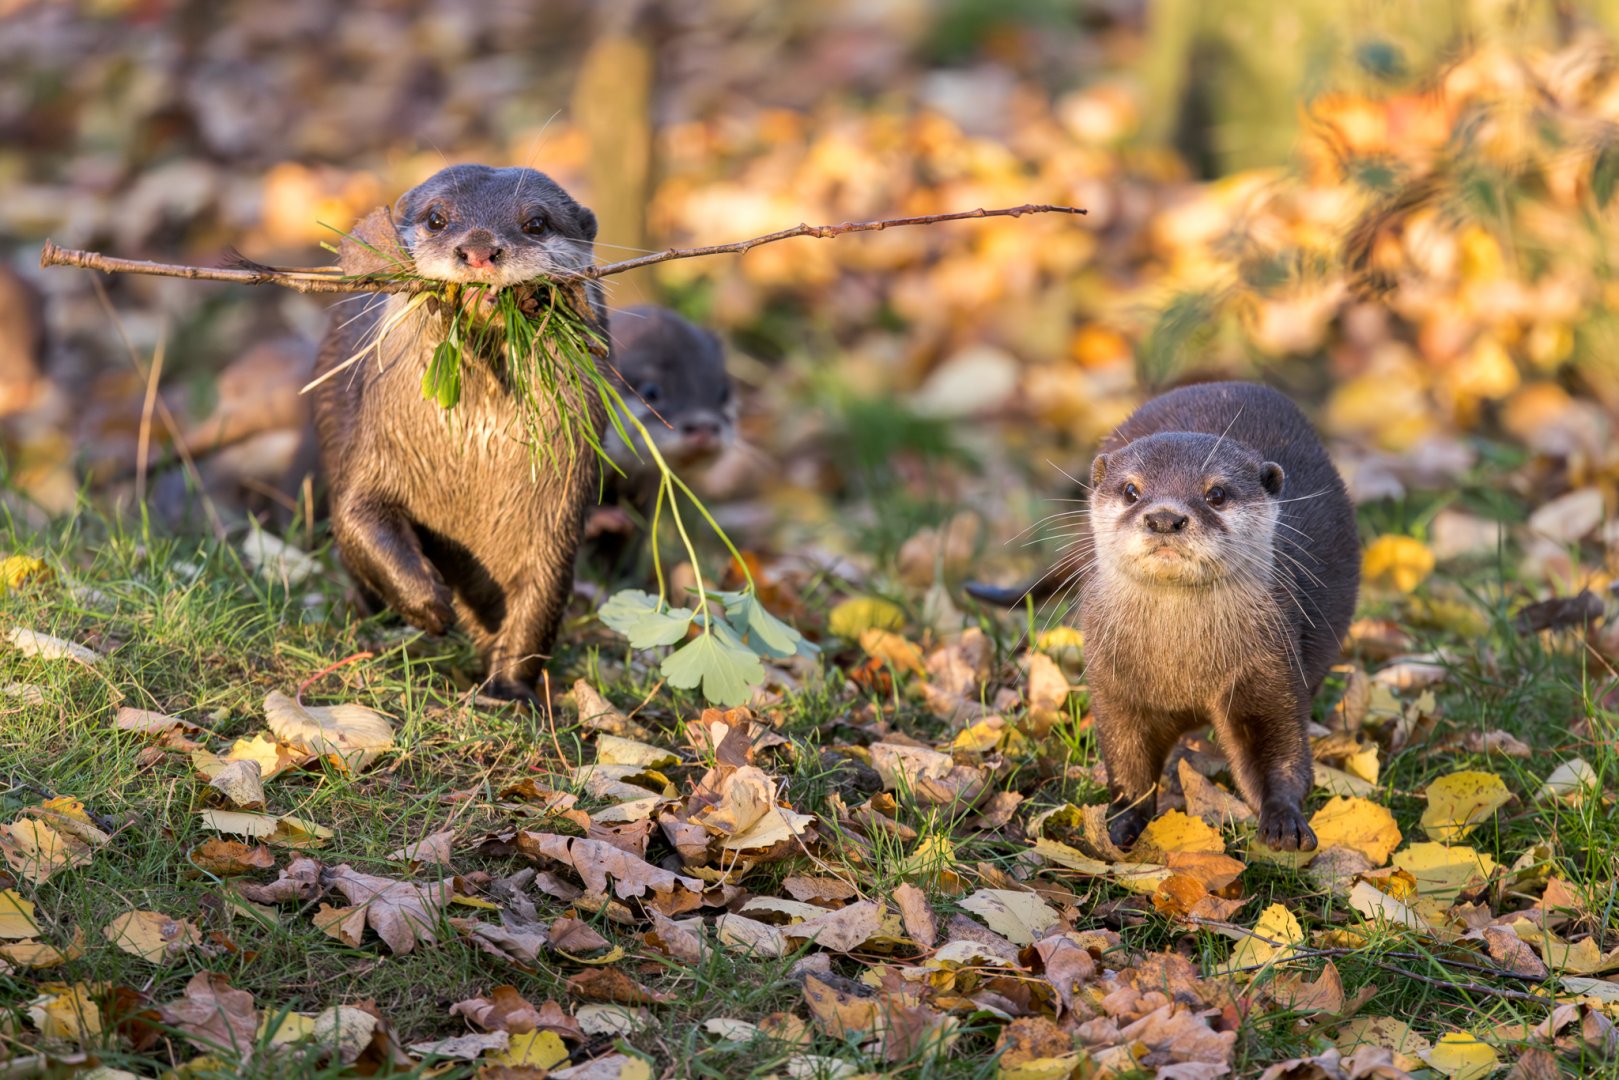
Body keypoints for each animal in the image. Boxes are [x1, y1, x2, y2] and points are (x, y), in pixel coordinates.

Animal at [310, 164, 603, 703]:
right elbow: (355, 519)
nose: (480, 249)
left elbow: (542, 599)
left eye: (535, 222)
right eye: (436, 218)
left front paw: (509, 690)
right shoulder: (374, 455)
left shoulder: (558, 511)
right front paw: (431, 606)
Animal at [984, 382, 1359, 851]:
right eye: (1131, 490)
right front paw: (1122, 822)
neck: (1182, 672)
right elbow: (1128, 758)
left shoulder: (1270, 667)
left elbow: (1278, 747)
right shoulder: (1115, 682)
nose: (1164, 517)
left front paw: (1284, 820)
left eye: (1216, 493)